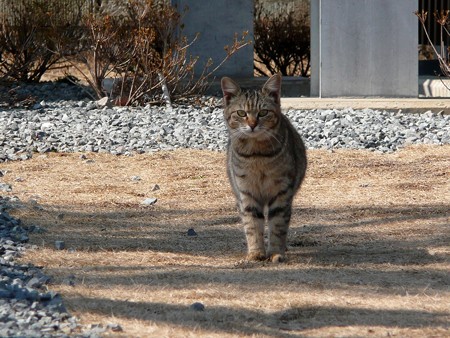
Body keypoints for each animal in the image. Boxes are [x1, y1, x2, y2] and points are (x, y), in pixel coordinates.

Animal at [221, 74, 306, 262]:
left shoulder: (282, 193)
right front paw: (256, 252)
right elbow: (252, 224)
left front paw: (275, 252)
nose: (252, 125)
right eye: (241, 113)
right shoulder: (246, 193)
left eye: (263, 112)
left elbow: (278, 225)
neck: (257, 155)